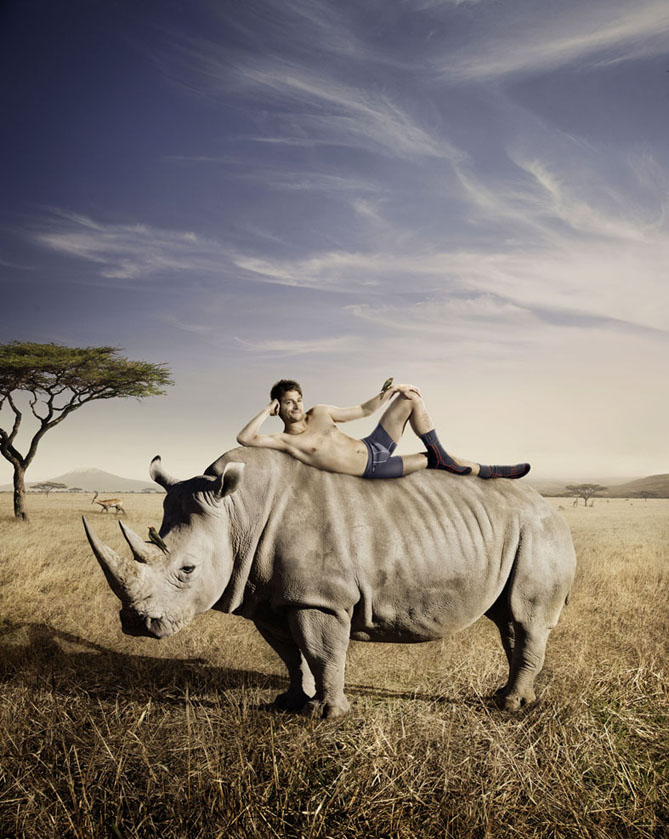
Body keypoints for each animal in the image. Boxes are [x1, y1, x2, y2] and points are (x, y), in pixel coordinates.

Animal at [83, 448, 576, 718]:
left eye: (187, 570)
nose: (136, 623)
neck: (237, 513)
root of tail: (549, 506)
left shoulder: (319, 598)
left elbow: (322, 651)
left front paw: (326, 714)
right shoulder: (269, 597)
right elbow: (289, 654)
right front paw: (288, 702)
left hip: (540, 533)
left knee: (526, 617)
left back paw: (510, 706)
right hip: (521, 533)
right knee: (508, 619)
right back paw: (510, 697)